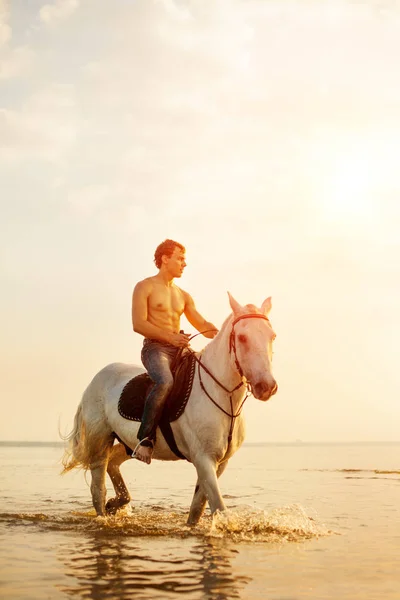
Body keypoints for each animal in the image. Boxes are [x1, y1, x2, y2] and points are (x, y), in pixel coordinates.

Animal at [62, 294, 278, 524]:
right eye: (242, 337)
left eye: (272, 336)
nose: (267, 386)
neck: (221, 393)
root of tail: (95, 380)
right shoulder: (204, 459)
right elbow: (219, 508)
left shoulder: (220, 463)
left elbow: (197, 508)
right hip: (100, 443)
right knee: (98, 489)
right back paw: (106, 511)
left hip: (128, 443)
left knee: (113, 463)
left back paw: (117, 503)